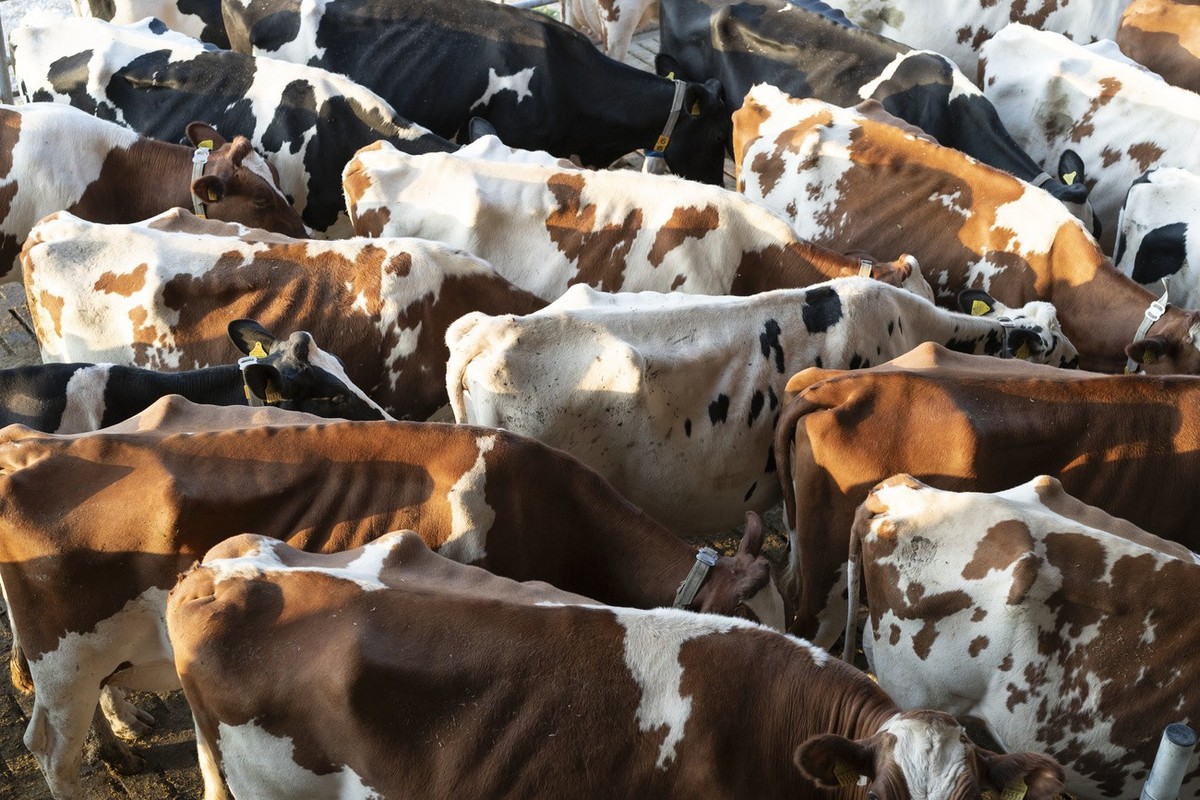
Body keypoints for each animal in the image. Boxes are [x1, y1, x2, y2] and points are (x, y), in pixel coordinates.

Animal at [0, 396, 783, 797]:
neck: (543, 504)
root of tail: (32, 445)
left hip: (89, 653)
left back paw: (123, 734)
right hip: (64, 657)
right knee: (50, 747)